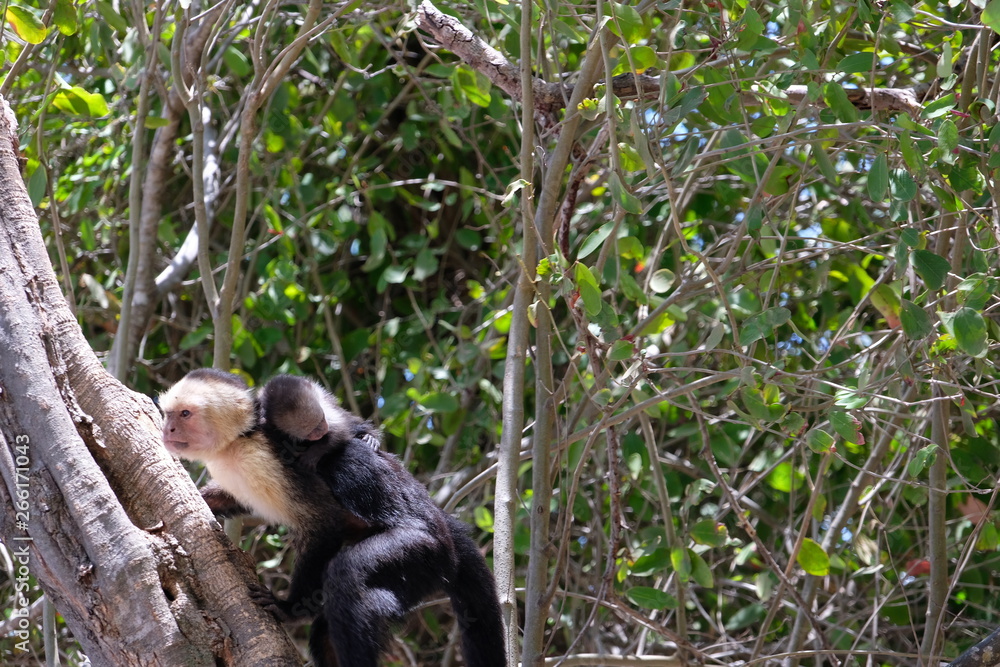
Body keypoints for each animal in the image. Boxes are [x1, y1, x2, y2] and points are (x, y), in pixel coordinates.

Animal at [160, 369, 506, 667]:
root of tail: (444, 529)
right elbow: (232, 499)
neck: (239, 441)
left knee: (348, 572)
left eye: (185, 414)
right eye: (167, 413)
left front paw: (290, 610)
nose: (167, 430)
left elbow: (323, 522)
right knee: (327, 628)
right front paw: (202, 500)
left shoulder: (271, 457)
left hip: (425, 551)